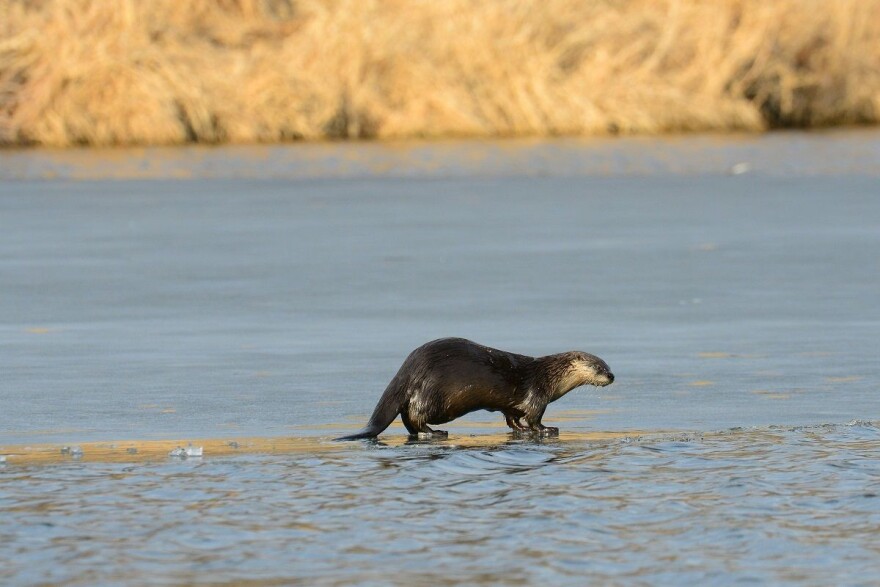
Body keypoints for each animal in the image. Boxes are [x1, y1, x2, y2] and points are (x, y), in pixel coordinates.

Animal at [335, 337, 614, 440]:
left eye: (609, 365)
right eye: (599, 366)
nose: (612, 376)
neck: (550, 375)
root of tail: (409, 369)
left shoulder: (510, 405)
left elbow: (512, 419)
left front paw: (521, 430)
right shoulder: (538, 395)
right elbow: (535, 418)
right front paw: (547, 429)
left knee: (407, 418)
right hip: (434, 395)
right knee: (415, 415)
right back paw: (435, 432)